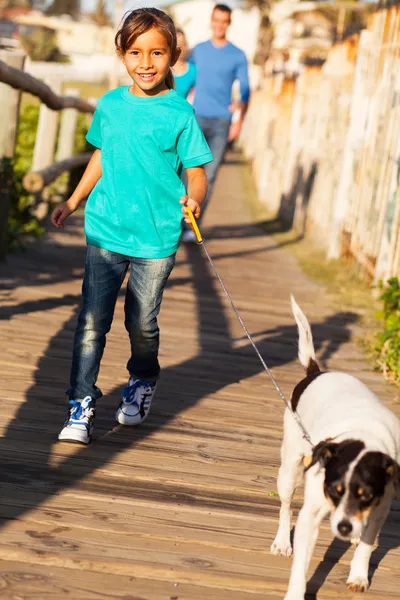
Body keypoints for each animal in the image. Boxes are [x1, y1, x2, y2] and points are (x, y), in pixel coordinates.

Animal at [270, 298, 398, 596]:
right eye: (334, 489)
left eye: (366, 494)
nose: (344, 526)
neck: (362, 434)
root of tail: (315, 372)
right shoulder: (311, 516)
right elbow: (301, 566)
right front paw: (295, 594)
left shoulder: (380, 508)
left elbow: (367, 544)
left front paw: (359, 575)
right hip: (289, 470)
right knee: (285, 506)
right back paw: (282, 542)